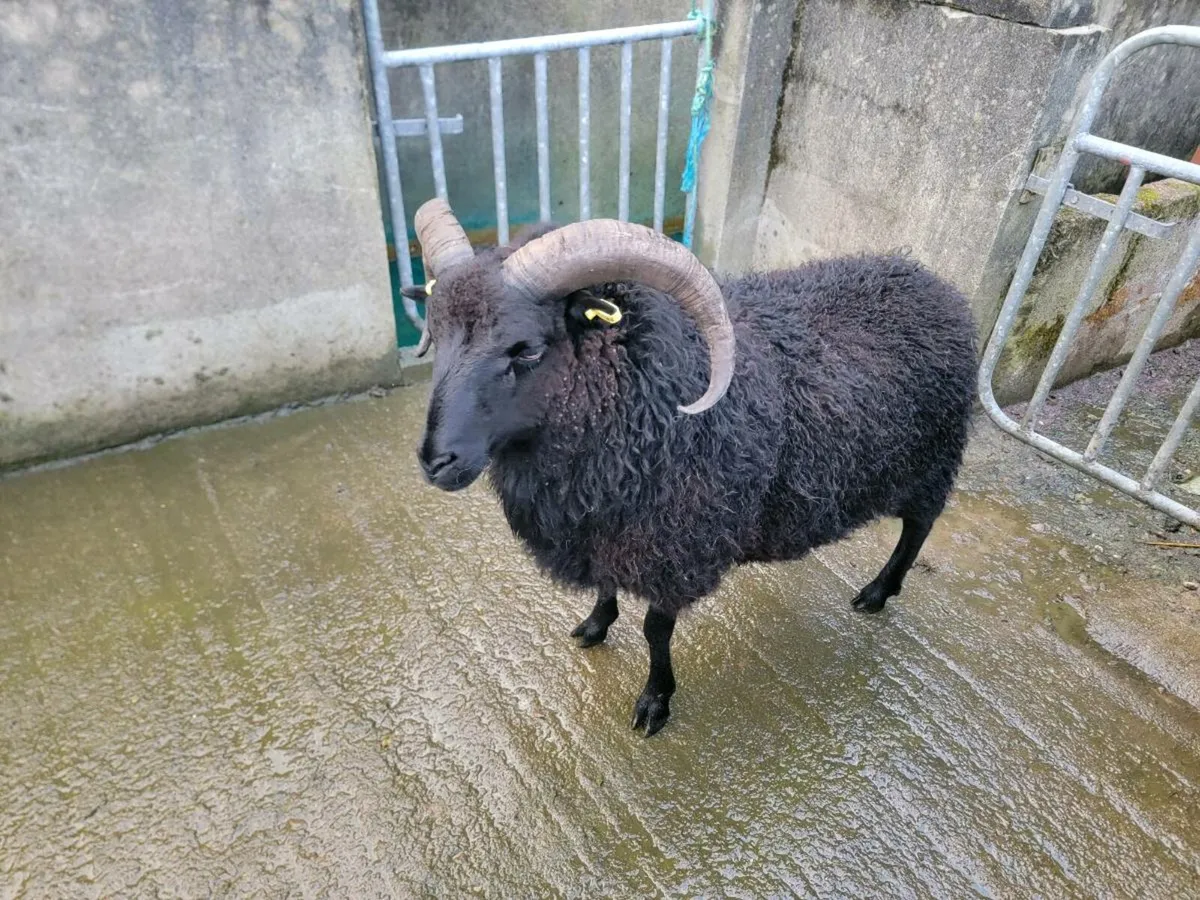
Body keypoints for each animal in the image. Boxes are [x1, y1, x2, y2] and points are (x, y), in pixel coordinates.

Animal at [405, 198, 977, 736]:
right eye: (435, 333)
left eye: (526, 350)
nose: (436, 461)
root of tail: (933, 283)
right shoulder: (605, 525)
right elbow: (606, 585)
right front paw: (594, 625)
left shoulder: (675, 542)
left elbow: (655, 631)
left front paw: (655, 701)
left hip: (932, 458)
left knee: (918, 526)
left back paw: (878, 592)